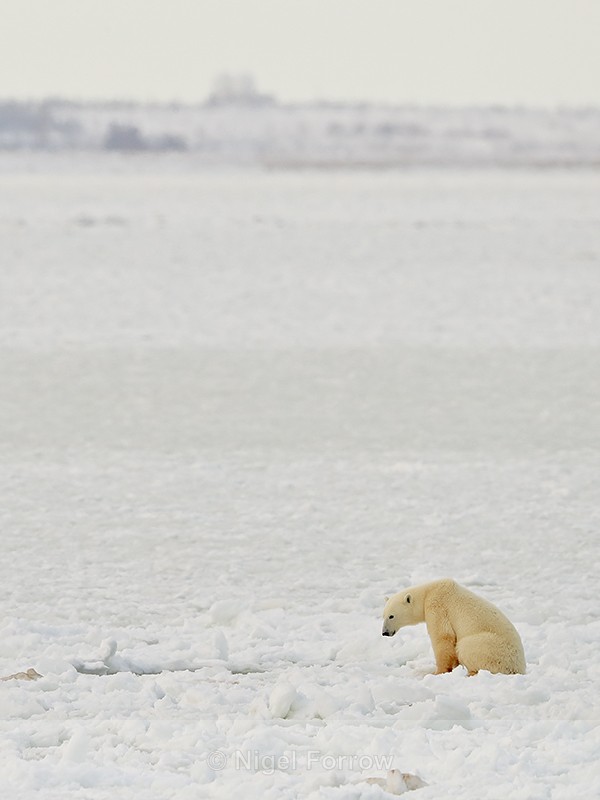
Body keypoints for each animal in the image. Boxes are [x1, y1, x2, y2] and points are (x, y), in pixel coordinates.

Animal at [382, 578, 525, 676]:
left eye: (391, 616)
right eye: (383, 615)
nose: (384, 633)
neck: (429, 591)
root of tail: (519, 668)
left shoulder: (437, 606)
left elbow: (443, 637)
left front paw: (438, 672)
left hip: (491, 647)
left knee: (466, 647)